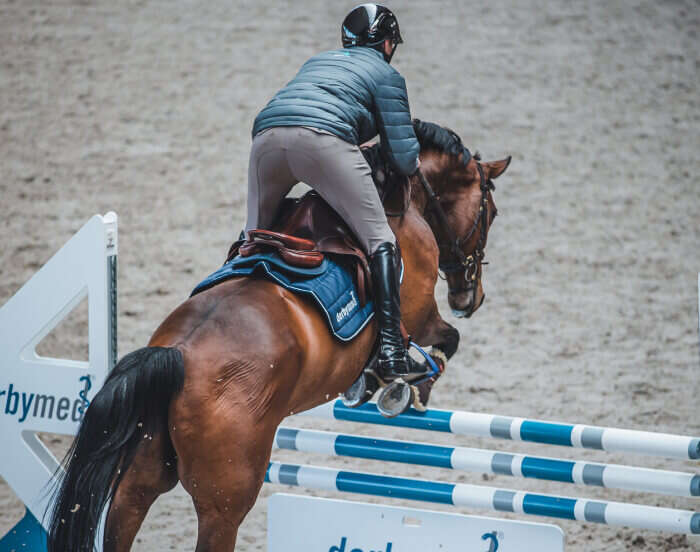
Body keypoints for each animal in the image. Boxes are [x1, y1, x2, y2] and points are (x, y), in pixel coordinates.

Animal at [47, 121, 510, 551]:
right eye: (490, 213)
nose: (470, 298)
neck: (400, 202)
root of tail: (176, 355)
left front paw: (372, 384)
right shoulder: (419, 314)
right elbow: (446, 340)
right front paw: (405, 385)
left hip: (141, 479)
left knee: (126, 511)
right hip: (224, 502)